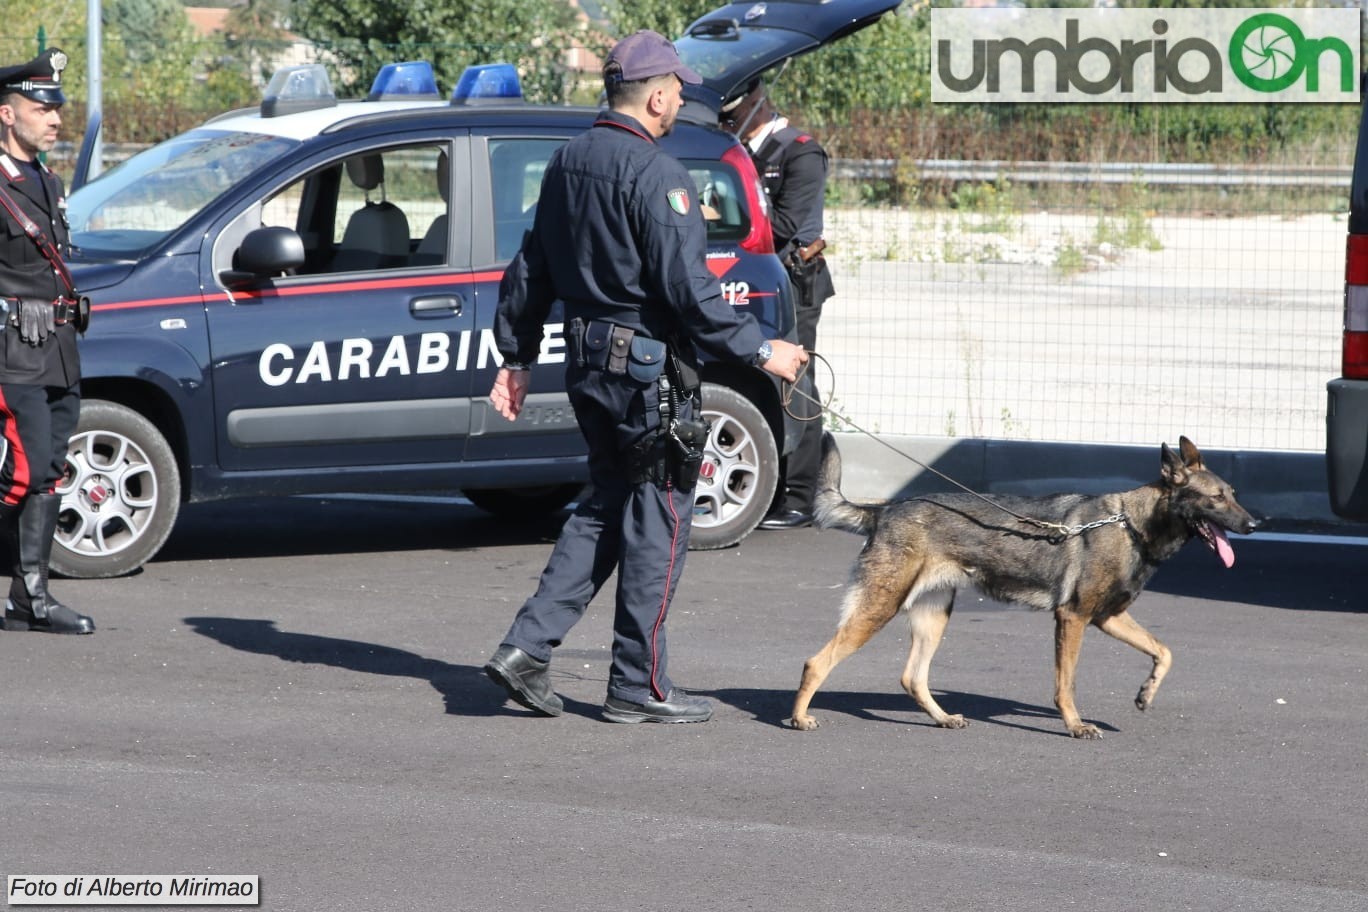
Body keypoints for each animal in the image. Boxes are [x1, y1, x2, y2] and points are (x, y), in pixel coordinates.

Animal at [484, 32, 804, 721]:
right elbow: (687, 285)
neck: (619, 131)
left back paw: (520, 669)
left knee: (596, 515)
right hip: (667, 452)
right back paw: (644, 696)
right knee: (657, 543)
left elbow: (531, 266)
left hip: (610, 443)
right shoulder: (670, 202)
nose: (680, 99)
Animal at [787, 434, 1253, 743]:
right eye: (1216, 498)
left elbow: (1164, 651)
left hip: (932, 618)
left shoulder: (1108, 617)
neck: (1132, 525)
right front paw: (1074, 725)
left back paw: (943, 718)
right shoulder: (1074, 618)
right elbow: (1066, 684)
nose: (1253, 524)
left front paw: (1146, 692)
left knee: (912, 677)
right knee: (816, 662)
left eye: (1233, 494)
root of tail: (885, 510)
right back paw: (798, 718)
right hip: (877, 609)